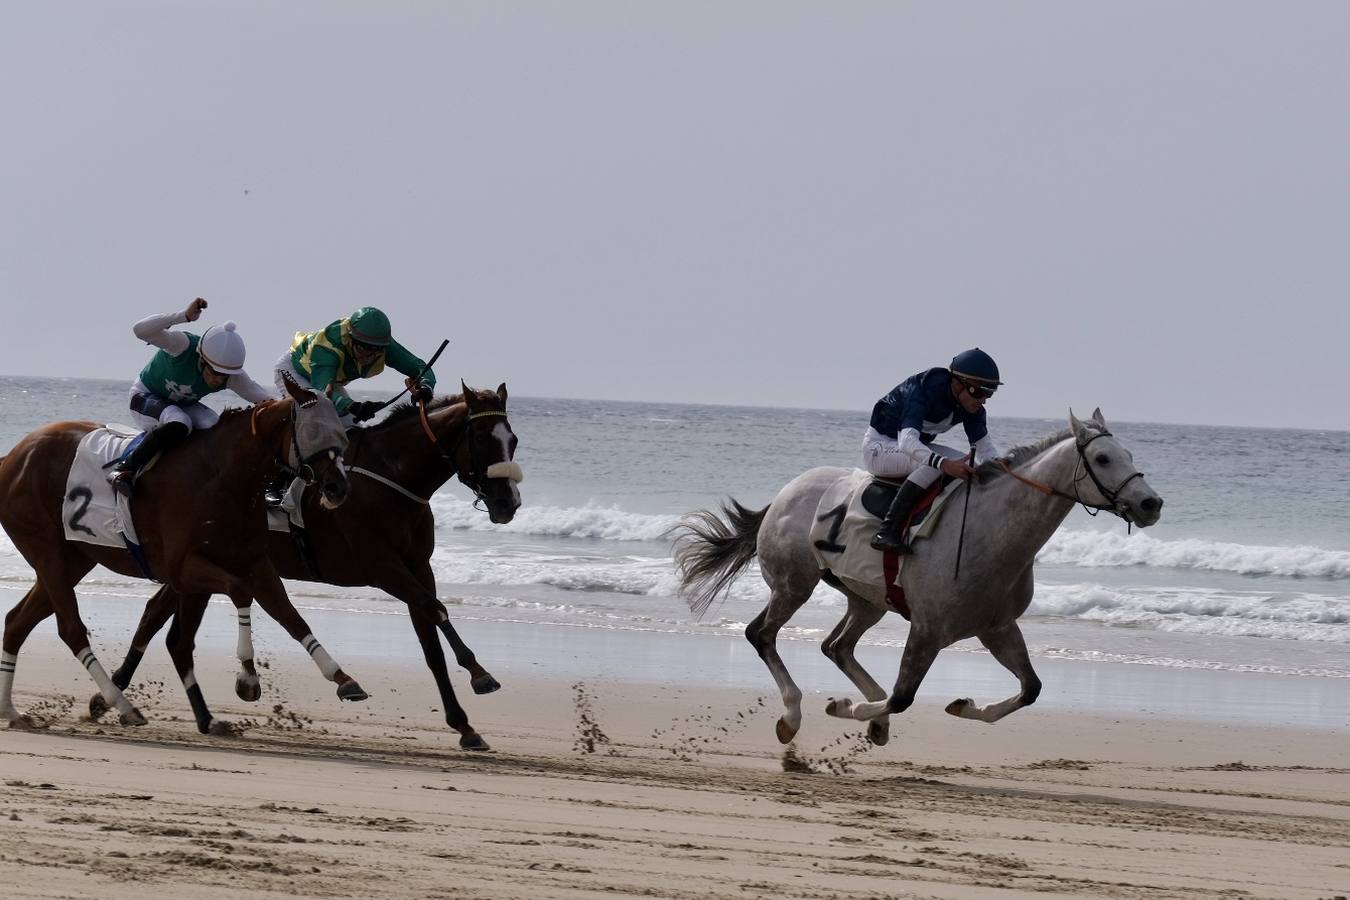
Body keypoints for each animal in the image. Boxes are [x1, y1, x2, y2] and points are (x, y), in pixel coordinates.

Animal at [0, 377, 361, 728]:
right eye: (313, 432)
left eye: (342, 435)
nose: (338, 487)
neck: (223, 476)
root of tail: (12, 457)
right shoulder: (183, 568)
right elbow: (240, 592)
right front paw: (247, 677)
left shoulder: (253, 561)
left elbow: (289, 614)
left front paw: (343, 678)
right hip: (46, 549)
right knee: (70, 629)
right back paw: (123, 705)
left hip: (74, 558)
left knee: (17, 622)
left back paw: (12, 712)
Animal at [98, 383, 521, 750]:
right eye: (482, 438)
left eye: (513, 440)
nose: (508, 502)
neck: (391, 477)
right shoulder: (382, 566)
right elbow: (436, 609)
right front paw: (480, 673)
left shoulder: (418, 567)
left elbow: (431, 643)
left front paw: (464, 725)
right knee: (159, 618)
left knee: (155, 616)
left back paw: (107, 697)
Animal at [672, 410, 1161, 744]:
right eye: (1103, 457)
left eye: (1130, 455)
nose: (1151, 503)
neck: (992, 533)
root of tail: (783, 495)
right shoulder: (928, 628)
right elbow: (902, 696)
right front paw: (848, 706)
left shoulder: (997, 627)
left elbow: (1031, 689)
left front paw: (962, 705)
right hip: (794, 585)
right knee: (762, 634)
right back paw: (793, 716)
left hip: (866, 599)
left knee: (837, 646)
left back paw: (870, 719)